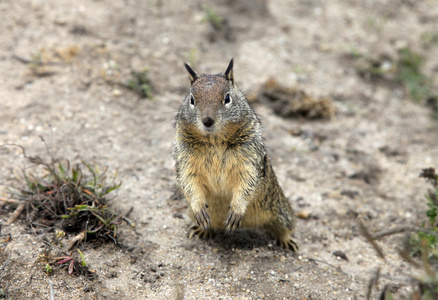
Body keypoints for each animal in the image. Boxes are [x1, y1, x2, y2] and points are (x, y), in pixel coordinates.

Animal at [173, 58, 300, 251]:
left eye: (227, 98)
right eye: (192, 99)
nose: (207, 121)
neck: (214, 141)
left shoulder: (249, 161)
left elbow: (247, 184)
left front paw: (236, 210)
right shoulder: (186, 161)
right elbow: (190, 184)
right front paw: (199, 208)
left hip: (280, 212)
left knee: (282, 227)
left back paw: (287, 241)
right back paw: (201, 229)